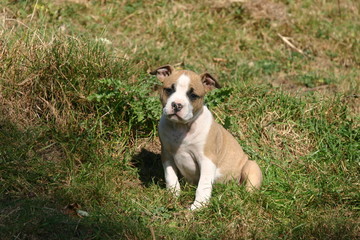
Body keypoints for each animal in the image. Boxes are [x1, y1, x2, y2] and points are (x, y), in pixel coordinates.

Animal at [149, 64, 262, 209]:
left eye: (193, 95)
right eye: (169, 90)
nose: (177, 105)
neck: (181, 127)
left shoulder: (207, 159)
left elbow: (203, 185)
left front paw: (198, 206)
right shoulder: (167, 155)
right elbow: (171, 176)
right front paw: (173, 196)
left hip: (251, 167)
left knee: (249, 190)